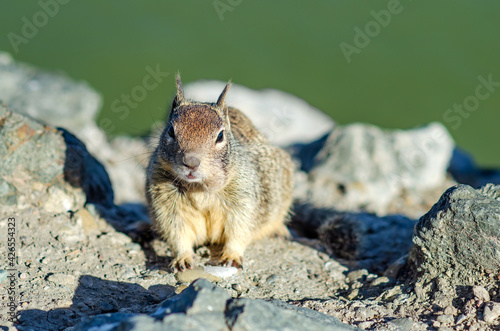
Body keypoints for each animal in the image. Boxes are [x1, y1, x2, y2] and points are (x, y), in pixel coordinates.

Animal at [145, 75, 292, 272]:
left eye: (220, 136)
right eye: (170, 130)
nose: (191, 162)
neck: (198, 188)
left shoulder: (244, 200)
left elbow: (239, 231)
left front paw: (231, 256)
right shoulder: (166, 205)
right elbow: (177, 234)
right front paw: (182, 259)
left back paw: (280, 230)